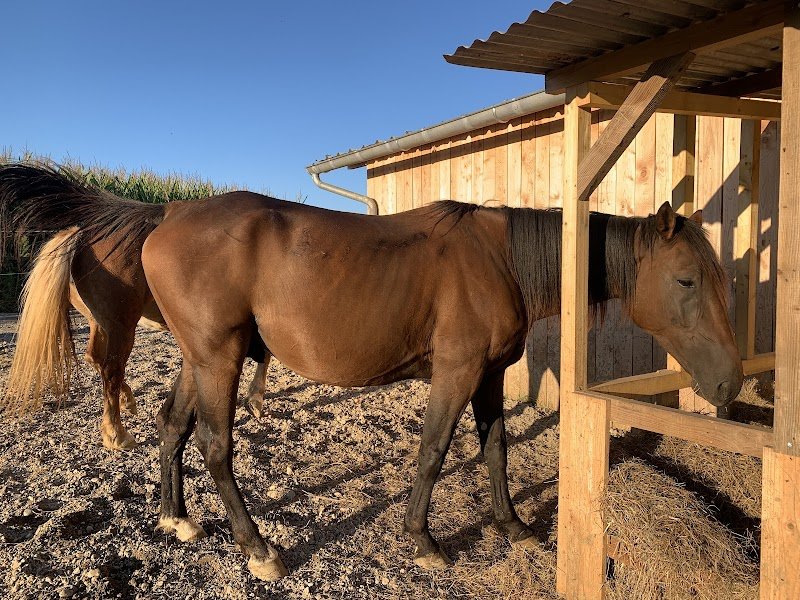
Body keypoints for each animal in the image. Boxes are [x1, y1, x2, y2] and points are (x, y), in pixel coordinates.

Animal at [0, 164, 270, 450]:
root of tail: (82, 234)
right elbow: (264, 354)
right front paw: (255, 401)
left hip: (100, 322)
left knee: (94, 358)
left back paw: (128, 401)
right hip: (122, 325)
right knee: (111, 369)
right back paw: (117, 434)